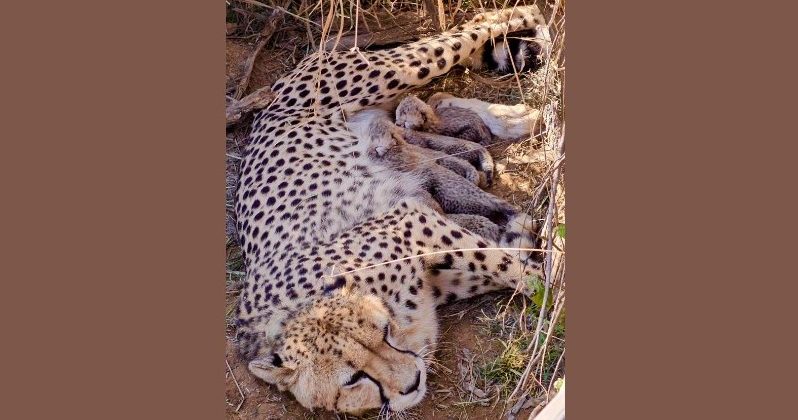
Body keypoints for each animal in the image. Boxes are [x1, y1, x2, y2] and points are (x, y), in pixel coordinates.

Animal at [233, 5, 550, 415]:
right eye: (352, 380)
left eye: (383, 333)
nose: (412, 382)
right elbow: (502, 260)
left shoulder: (412, 221)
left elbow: (506, 264)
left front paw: (553, 283)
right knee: (442, 94)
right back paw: (515, 118)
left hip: (396, 69)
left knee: (482, 24)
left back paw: (537, 24)